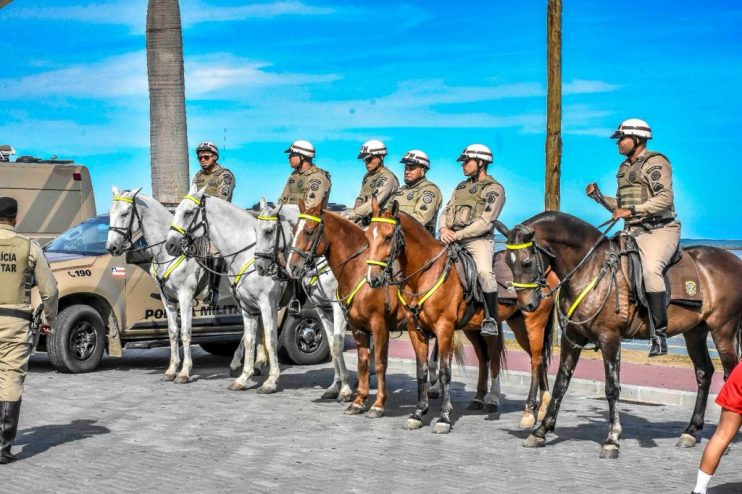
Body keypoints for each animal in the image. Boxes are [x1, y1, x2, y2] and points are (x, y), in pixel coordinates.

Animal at [104, 187, 251, 384]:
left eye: (125, 213)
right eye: (111, 213)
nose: (111, 247)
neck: (168, 254)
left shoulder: (185, 296)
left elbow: (186, 333)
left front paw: (184, 372)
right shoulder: (167, 299)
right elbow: (173, 332)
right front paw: (171, 369)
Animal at [166, 185, 284, 394]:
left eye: (188, 212)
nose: (169, 244)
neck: (247, 254)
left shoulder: (268, 303)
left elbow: (271, 340)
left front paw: (271, 381)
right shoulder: (247, 305)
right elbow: (250, 338)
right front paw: (244, 377)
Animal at [254, 200, 354, 402]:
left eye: (269, 231)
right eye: (294, 231)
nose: (259, 266)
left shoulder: (339, 308)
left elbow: (338, 344)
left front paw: (346, 388)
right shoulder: (322, 308)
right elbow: (332, 345)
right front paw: (335, 386)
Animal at [366, 201, 560, 432]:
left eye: (388, 236)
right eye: (368, 235)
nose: (373, 278)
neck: (426, 274)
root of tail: (547, 272)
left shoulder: (444, 329)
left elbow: (444, 372)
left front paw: (443, 418)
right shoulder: (416, 330)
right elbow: (422, 371)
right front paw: (418, 413)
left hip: (533, 323)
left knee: (536, 360)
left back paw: (532, 410)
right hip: (497, 328)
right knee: (494, 358)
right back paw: (495, 401)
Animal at [506, 211, 742, 460]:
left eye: (526, 262)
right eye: (507, 263)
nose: (527, 305)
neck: (590, 269)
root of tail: (734, 261)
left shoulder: (610, 338)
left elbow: (612, 388)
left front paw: (612, 439)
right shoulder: (573, 339)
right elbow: (561, 383)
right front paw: (541, 431)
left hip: (723, 331)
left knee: (729, 375)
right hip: (695, 332)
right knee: (704, 373)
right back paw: (691, 431)